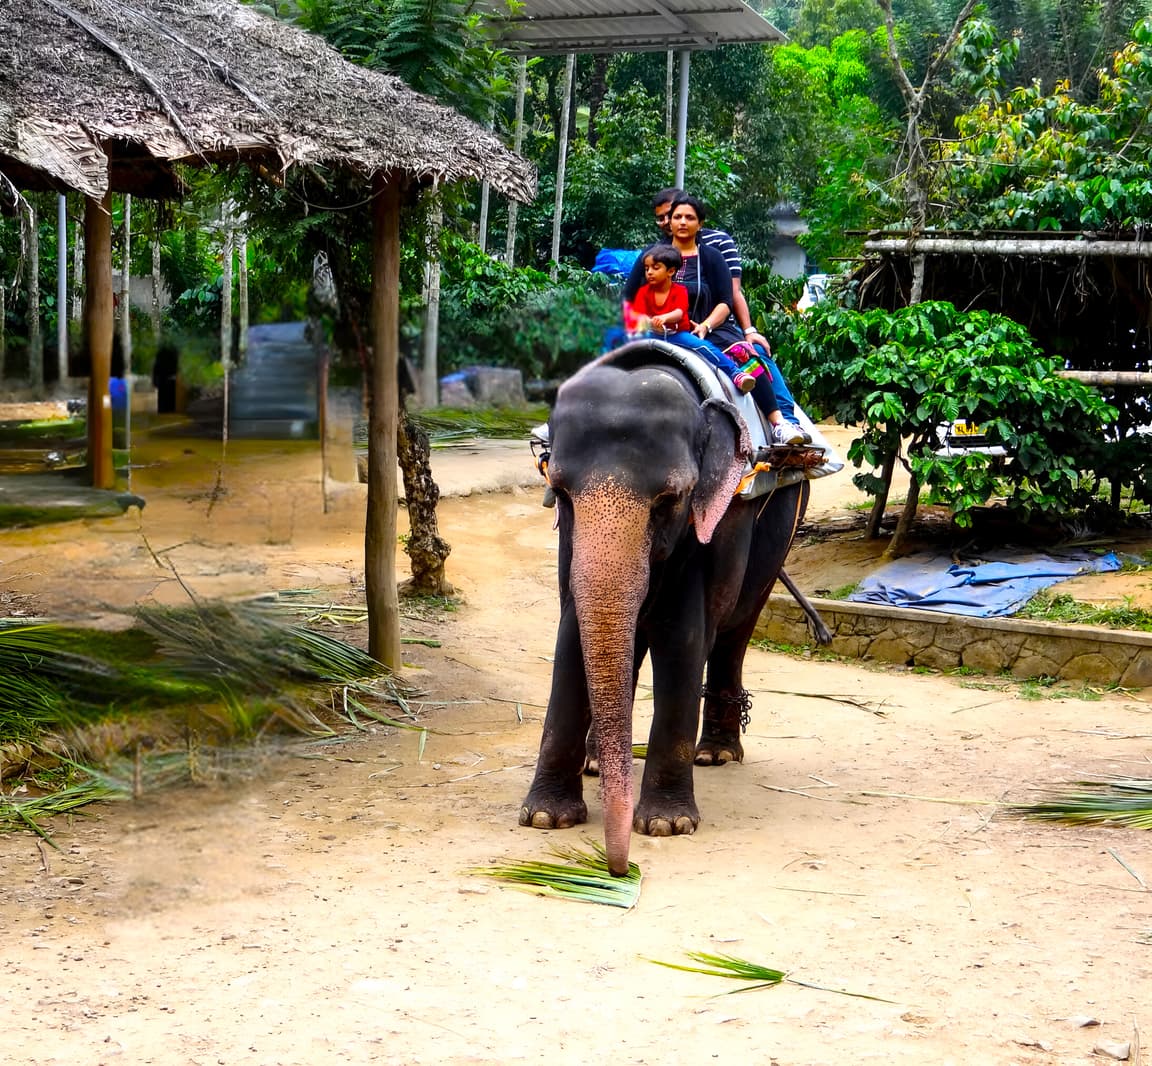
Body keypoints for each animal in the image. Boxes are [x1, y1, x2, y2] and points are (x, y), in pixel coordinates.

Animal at [519, 340, 810, 876]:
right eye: (561, 493)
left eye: (669, 500)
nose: (619, 869)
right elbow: (572, 635)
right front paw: (547, 817)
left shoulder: (716, 522)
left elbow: (684, 637)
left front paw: (665, 826)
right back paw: (597, 763)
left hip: (782, 528)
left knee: (736, 630)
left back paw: (716, 755)